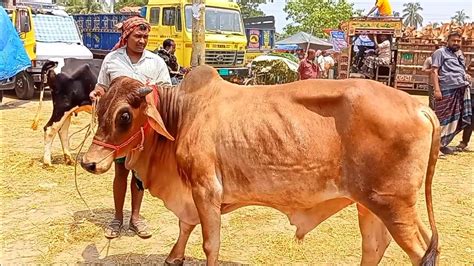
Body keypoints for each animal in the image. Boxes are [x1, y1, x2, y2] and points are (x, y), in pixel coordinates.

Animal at [81, 65, 440, 264]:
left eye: (124, 116)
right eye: (99, 109)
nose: (88, 162)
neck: (182, 115)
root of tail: (419, 107)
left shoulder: (205, 189)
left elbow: (210, 243)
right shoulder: (192, 192)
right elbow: (185, 226)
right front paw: (174, 256)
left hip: (392, 205)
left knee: (418, 251)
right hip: (375, 205)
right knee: (376, 247)